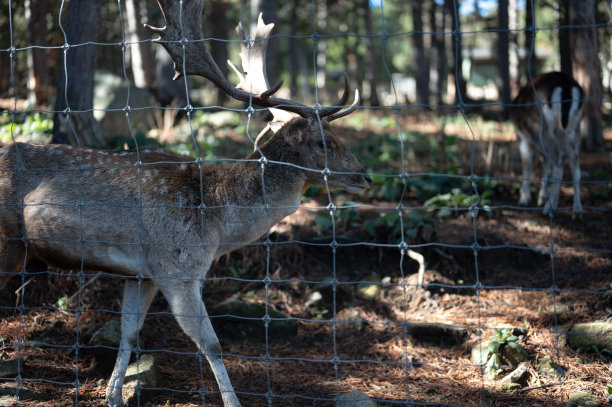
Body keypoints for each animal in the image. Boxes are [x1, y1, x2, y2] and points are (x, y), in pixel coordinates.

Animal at [0, 1, 370, 406]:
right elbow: (211, 344)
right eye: (323, 142)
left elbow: (129, 333)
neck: (217, 224)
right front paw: (233, 401)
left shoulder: (143, 273)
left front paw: (113, 395)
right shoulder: (178, 267)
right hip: (7, 245)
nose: (365, 177)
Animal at [506, 71, 584, 218]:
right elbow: (545, 163)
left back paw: (549, 208)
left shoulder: (523, 138)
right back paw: (577, 210)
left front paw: (524, 198)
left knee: (559, 159)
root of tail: (566, 86)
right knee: (575, 165)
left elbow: (527, 164)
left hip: (541, 128)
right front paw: (541, 197)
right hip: (574, 129)